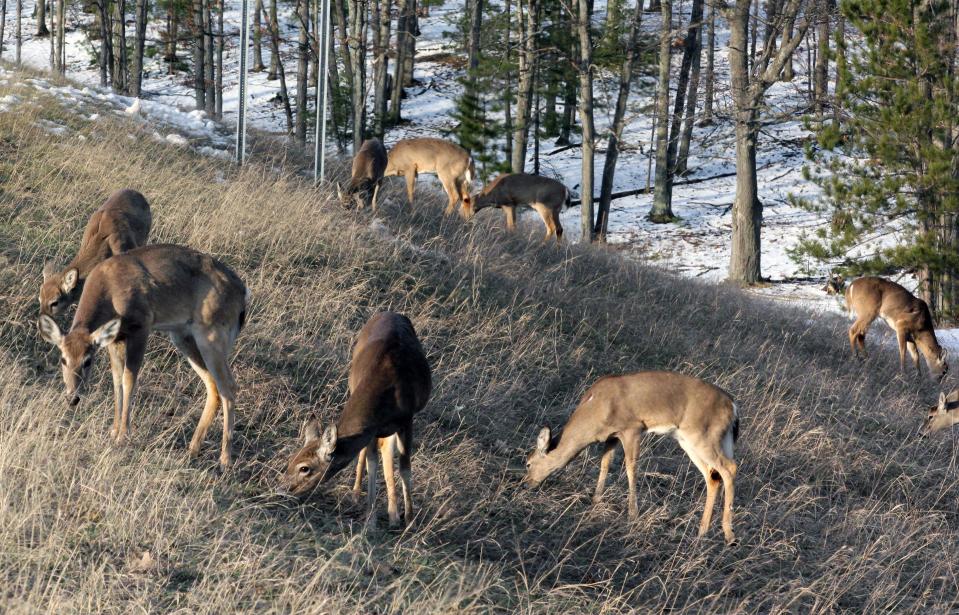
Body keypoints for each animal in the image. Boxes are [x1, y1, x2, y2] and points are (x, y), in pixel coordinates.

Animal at [37, 243, 249, 470]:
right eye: (63, 359)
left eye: (88, 361)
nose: (73, 398)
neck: (109, 290)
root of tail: (242, 294)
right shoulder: (116, 339)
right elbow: (116, 380)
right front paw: (113, 430)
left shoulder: (141, 326)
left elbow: (129, 379)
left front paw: (123, 435)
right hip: (183, 337)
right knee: (213, 386)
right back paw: (192, 449)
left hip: (211, 336)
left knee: (229, 387)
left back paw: (225, 459)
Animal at [280, 312, 434, 528]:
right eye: (291, 459)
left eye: (305, 468)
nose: (282, 489)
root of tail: (390, 312)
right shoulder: (372, 428)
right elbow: (372, 462)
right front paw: (371, 518)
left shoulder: (406, 418)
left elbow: (405, 468)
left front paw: (410, 520)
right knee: (378, 451)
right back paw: (359, 496)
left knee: (387, 451)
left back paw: (394, 515)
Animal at [524, 370, 744, 544]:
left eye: (527, 463)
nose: (526, 483)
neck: (595, 407)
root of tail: (733, 407)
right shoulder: (611, 436)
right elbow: (605, 463)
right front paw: (595, 500)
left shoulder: (632, 429)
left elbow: (631, 468)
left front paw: (632, 514)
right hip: (691, 441)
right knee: (712, 476)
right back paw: (701, 532)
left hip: (703, 436)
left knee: (729, 469)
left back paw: (729, 535)